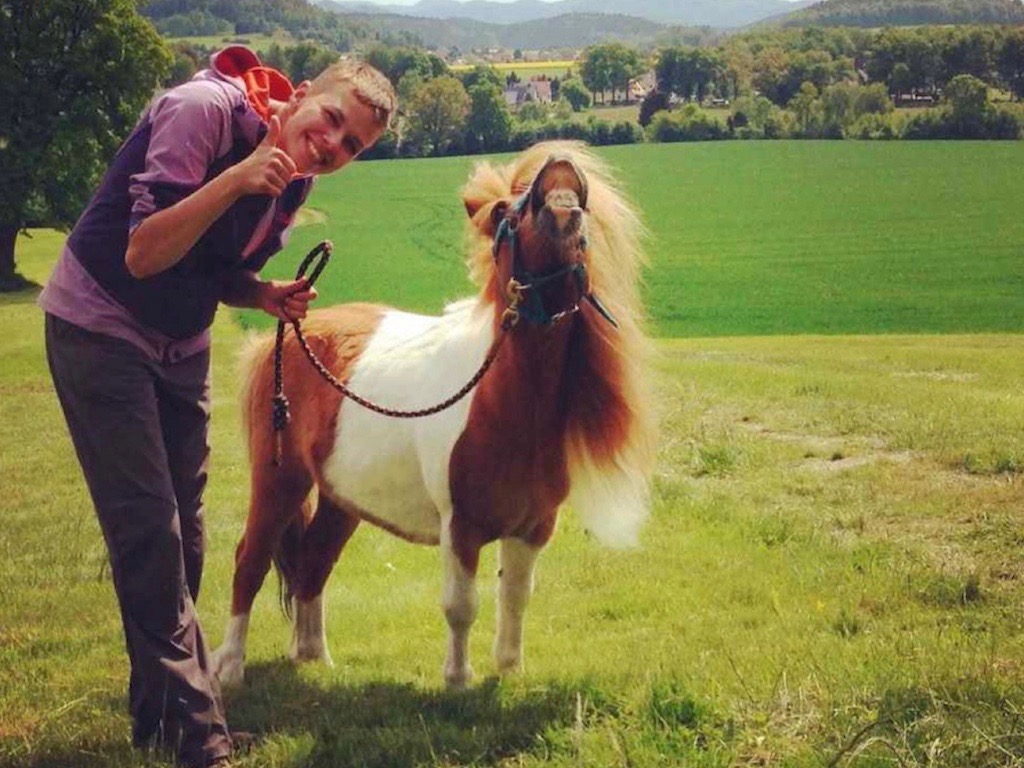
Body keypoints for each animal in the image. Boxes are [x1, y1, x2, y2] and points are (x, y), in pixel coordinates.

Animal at [211, 141, 656, 689]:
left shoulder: (533, 528)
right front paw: (458, 679)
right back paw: (230, 667)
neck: (505, 403)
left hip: (341, 499)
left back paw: (314, 657)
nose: (558, 172)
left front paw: (508, 669)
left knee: (314, 562)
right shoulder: (460, 526)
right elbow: (461, 605)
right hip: (279, 481)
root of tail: (285, 333)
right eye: (505, 213)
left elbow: (515, 598)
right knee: (248, 562)